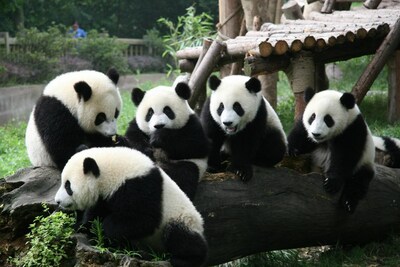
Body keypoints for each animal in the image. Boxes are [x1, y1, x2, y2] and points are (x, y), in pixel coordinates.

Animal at [54, 147, 208, 267]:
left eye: (68, 186)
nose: (57, 201)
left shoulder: (139, 186)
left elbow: (144, 220)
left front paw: (105, 230)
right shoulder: (104, 197)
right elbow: (95, 213)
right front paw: (82, 227)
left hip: (183, 219)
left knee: (180, 237)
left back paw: (183, 259)